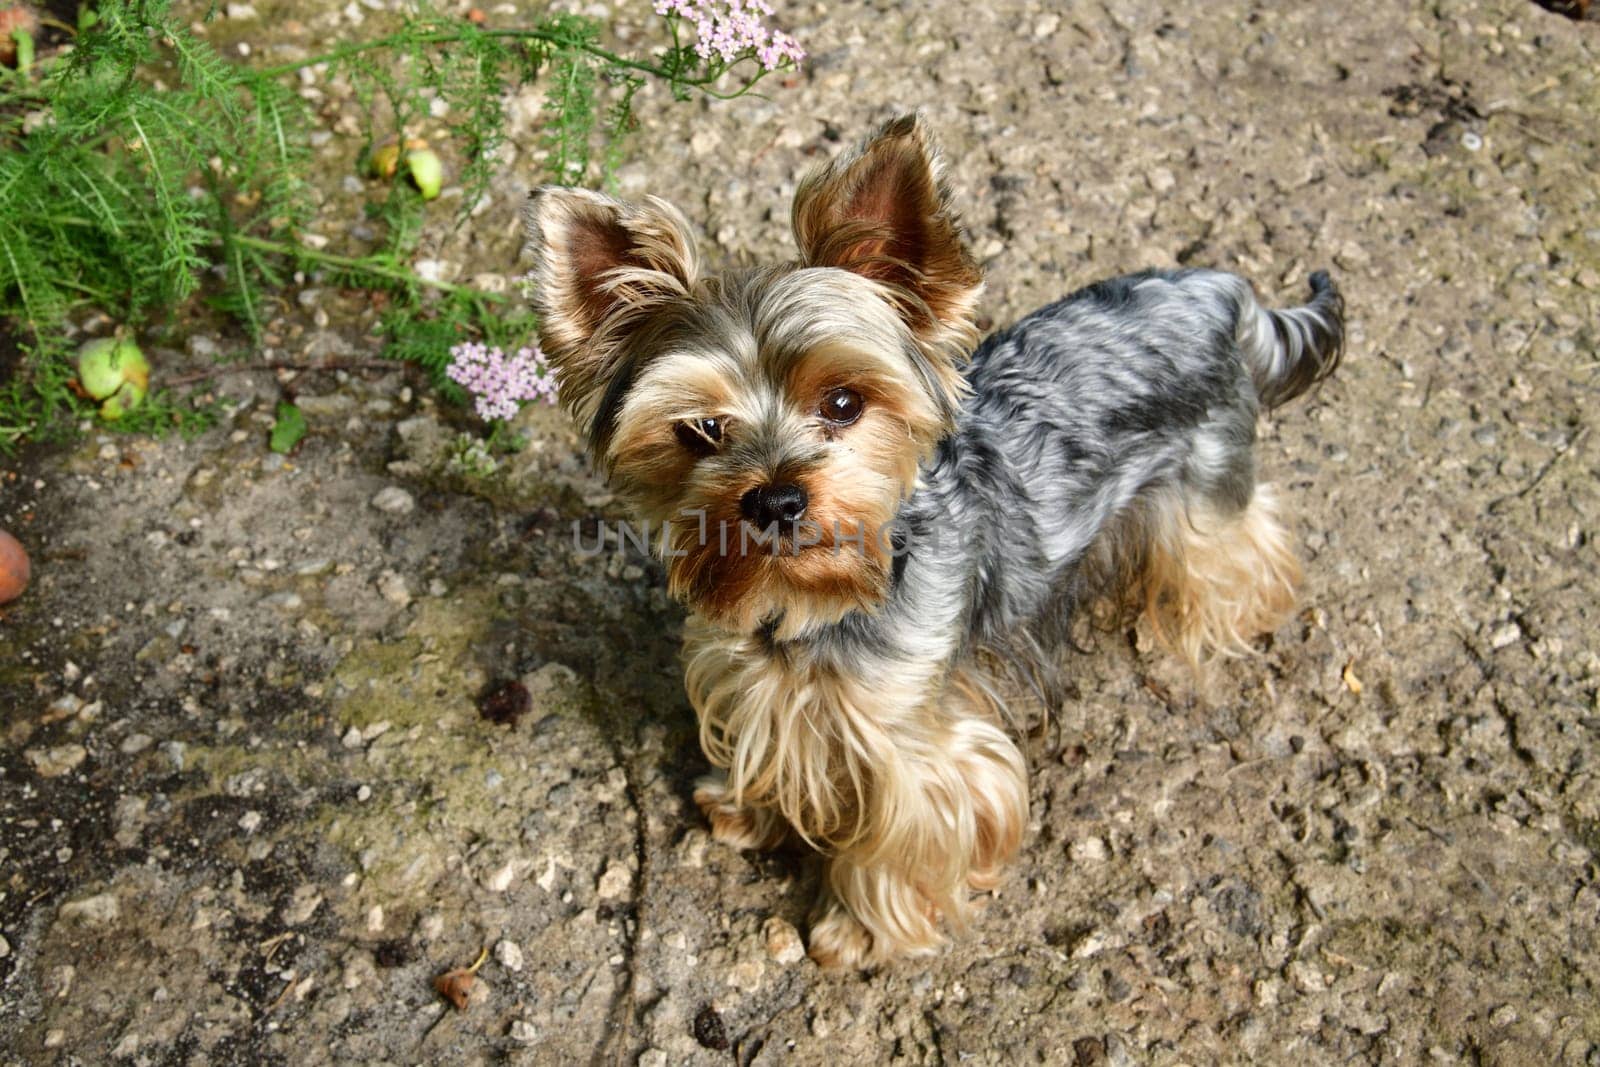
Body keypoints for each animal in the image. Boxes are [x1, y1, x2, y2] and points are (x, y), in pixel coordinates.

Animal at [521, 115, 1337, 966]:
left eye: (843, 402)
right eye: (702, 428)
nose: (775, 498)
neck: (811, 605)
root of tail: (1218, 289)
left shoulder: (910, 738)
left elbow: (903, 835)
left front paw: (856, 929)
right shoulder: (765, 686)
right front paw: (750, 810)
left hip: (1209, 479)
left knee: (1239, 543)